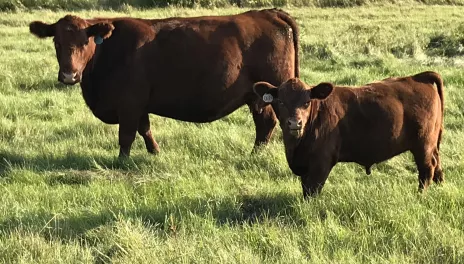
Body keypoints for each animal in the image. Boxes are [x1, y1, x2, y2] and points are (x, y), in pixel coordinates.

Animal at [29, 8, 300, 157]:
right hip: (257, 97)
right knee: (264, 124)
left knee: (270, 123)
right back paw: (255, 154)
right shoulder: (139, 104)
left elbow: (126, 135)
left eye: (85, 41)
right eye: (57, 42)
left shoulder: (129, 103)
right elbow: (144, 129)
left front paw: (121, 161)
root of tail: (268, 13)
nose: (69, 75)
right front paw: (155, 152)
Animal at [254, 71, 446, 199]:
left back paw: (420, 195)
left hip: (423, 144)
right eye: (280, 101)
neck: (296, 146)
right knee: (437, 163)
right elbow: (305, 188)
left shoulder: (321, 162)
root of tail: (418, 77)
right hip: (432, 143)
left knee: (427, 169)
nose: (295, 123)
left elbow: (312, 190)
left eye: (307, 102)